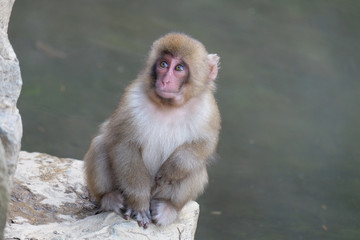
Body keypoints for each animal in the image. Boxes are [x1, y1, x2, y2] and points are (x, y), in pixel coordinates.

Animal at [84, 32, 221, 229]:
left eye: (179, 68)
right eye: (163, 64)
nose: (165, 80)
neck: (169, 106)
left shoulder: (208, 109)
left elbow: (204, 144)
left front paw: (173, 168)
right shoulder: (132, 101)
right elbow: (124, 145)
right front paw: (139, 205)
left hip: (160, 193)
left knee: (196, 166)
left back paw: (167, 207)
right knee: (101, 144)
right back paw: (109, 198)